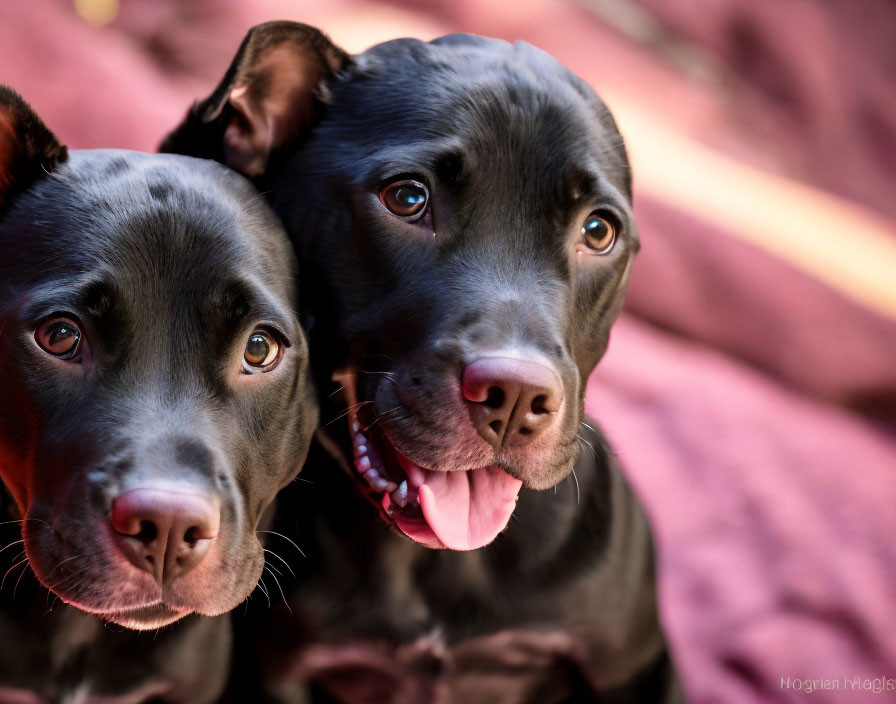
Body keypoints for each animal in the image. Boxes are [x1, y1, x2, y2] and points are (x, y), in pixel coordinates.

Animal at [164, 22, 688, 704]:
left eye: (598, 231)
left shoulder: (634, 665)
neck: (442, 564)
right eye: (407, 197)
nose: (516, 397)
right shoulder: (277, 673)